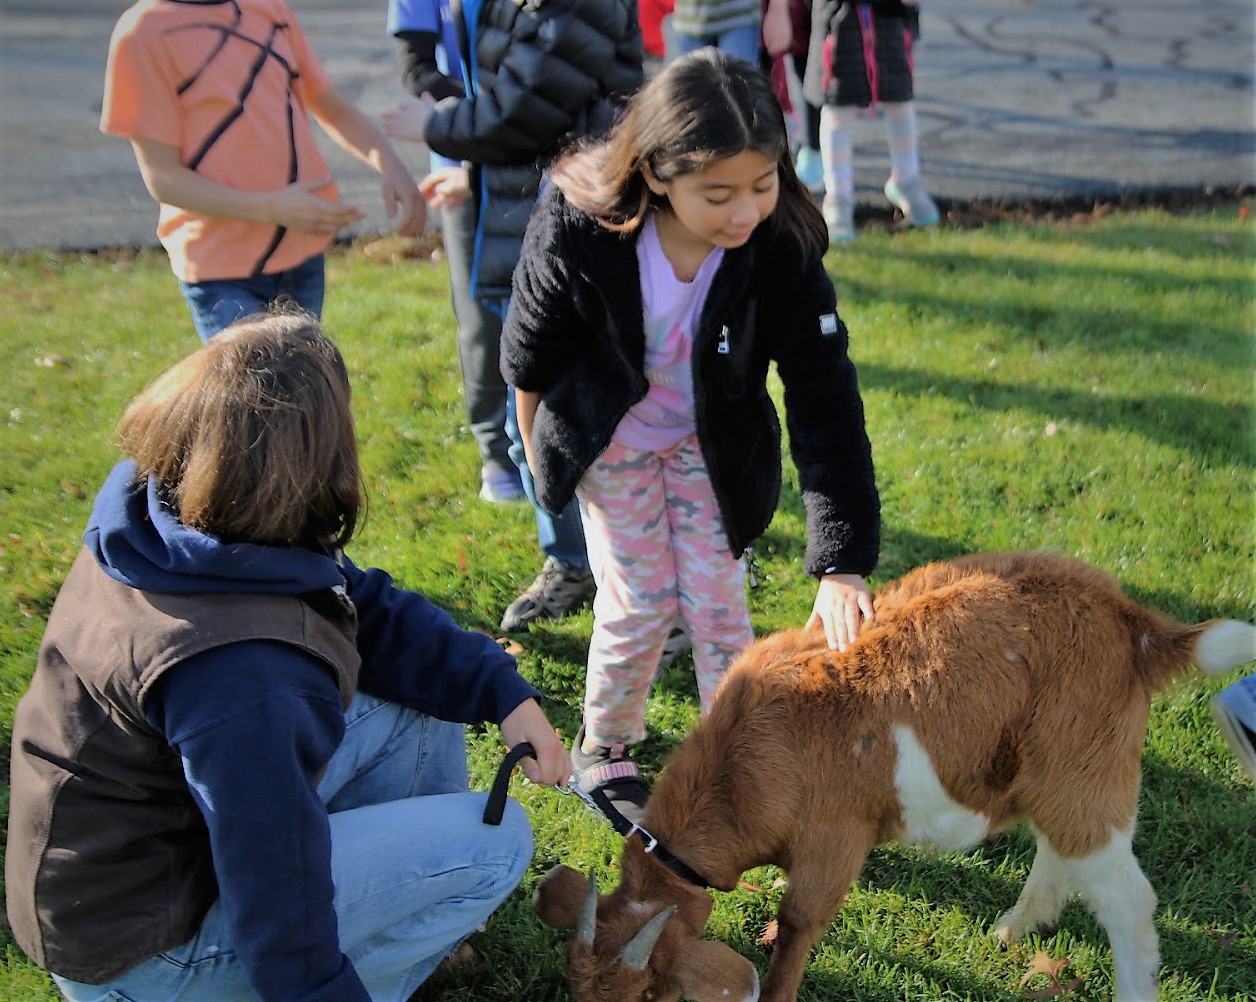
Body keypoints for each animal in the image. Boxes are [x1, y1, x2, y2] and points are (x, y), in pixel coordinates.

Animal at [532, 552, 1256, 999]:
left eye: (649, 992)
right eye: (575, 987)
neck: (743, 764)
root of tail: (1138, 626)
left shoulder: (834, 840)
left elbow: (797, 925)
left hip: (1086, 772)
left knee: (1128, 901)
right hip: (1055, 775)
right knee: (1061, 852)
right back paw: (1013, 928)